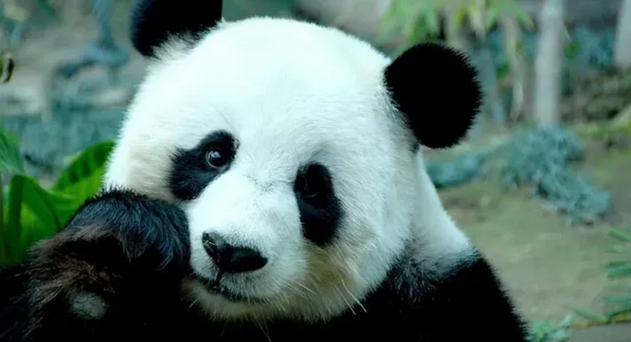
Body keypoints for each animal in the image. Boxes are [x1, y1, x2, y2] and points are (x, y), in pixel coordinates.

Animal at [0, 0, 528, 342]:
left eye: (312, 188)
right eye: (215, 155)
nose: (231, 252)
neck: (231, 321)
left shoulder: (437, 300)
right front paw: (115, 253)